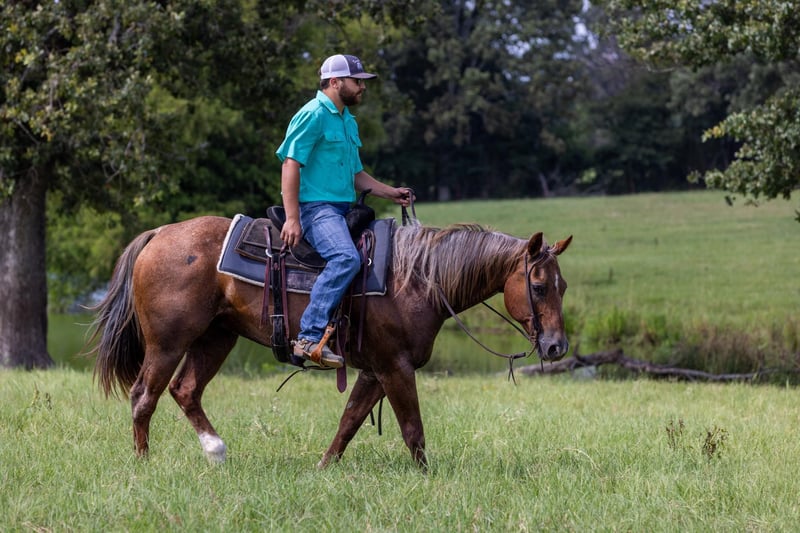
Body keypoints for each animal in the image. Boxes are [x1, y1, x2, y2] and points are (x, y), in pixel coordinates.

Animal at [89, 214, 572, 468]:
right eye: (539, 286)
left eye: (563, 286)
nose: (556, 347)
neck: (417, 278)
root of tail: (160, 234)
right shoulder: (395, 367)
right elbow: (412, 430)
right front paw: (427, 478)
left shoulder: (375, 371)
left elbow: (349, 422)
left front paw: (323, 468)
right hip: (168, 342)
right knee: (144, 396)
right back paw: (144, 463)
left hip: (216, 338)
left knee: (185, 390)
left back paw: (216, 451)